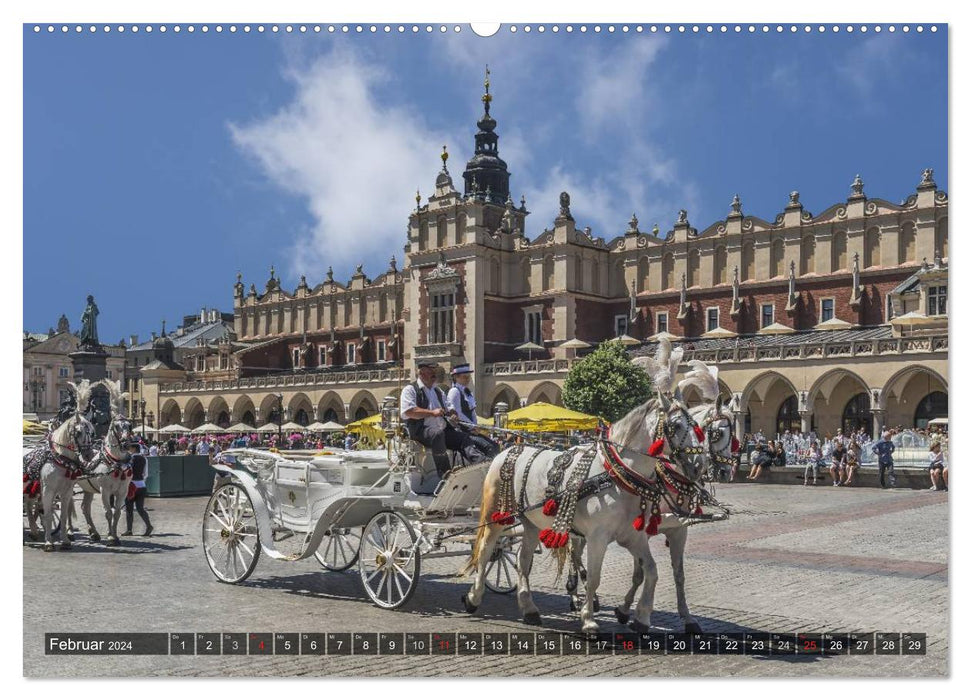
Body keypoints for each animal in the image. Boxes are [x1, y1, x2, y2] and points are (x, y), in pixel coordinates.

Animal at [23, 382, 97, 552]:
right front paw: (48, 542)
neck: (60, 459)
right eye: (78, 432)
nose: (88, 455)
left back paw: (34, 531)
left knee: (29, 506)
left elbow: (63, 515)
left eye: (92, 432)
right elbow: (48, 513)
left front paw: (65, 540)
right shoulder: (48, 490)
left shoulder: (66, 491)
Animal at [78, 380, 133, 544]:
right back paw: (69, 531)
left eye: (129, 426)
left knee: (84, 508)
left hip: (87, 488)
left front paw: (114, 535)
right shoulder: (105, 491)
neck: (116, 462)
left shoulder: (122, 491)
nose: (126, 444)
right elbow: (108, 512)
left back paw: (93, 533)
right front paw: (110, 537)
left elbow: (117, 513)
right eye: (116, 426)